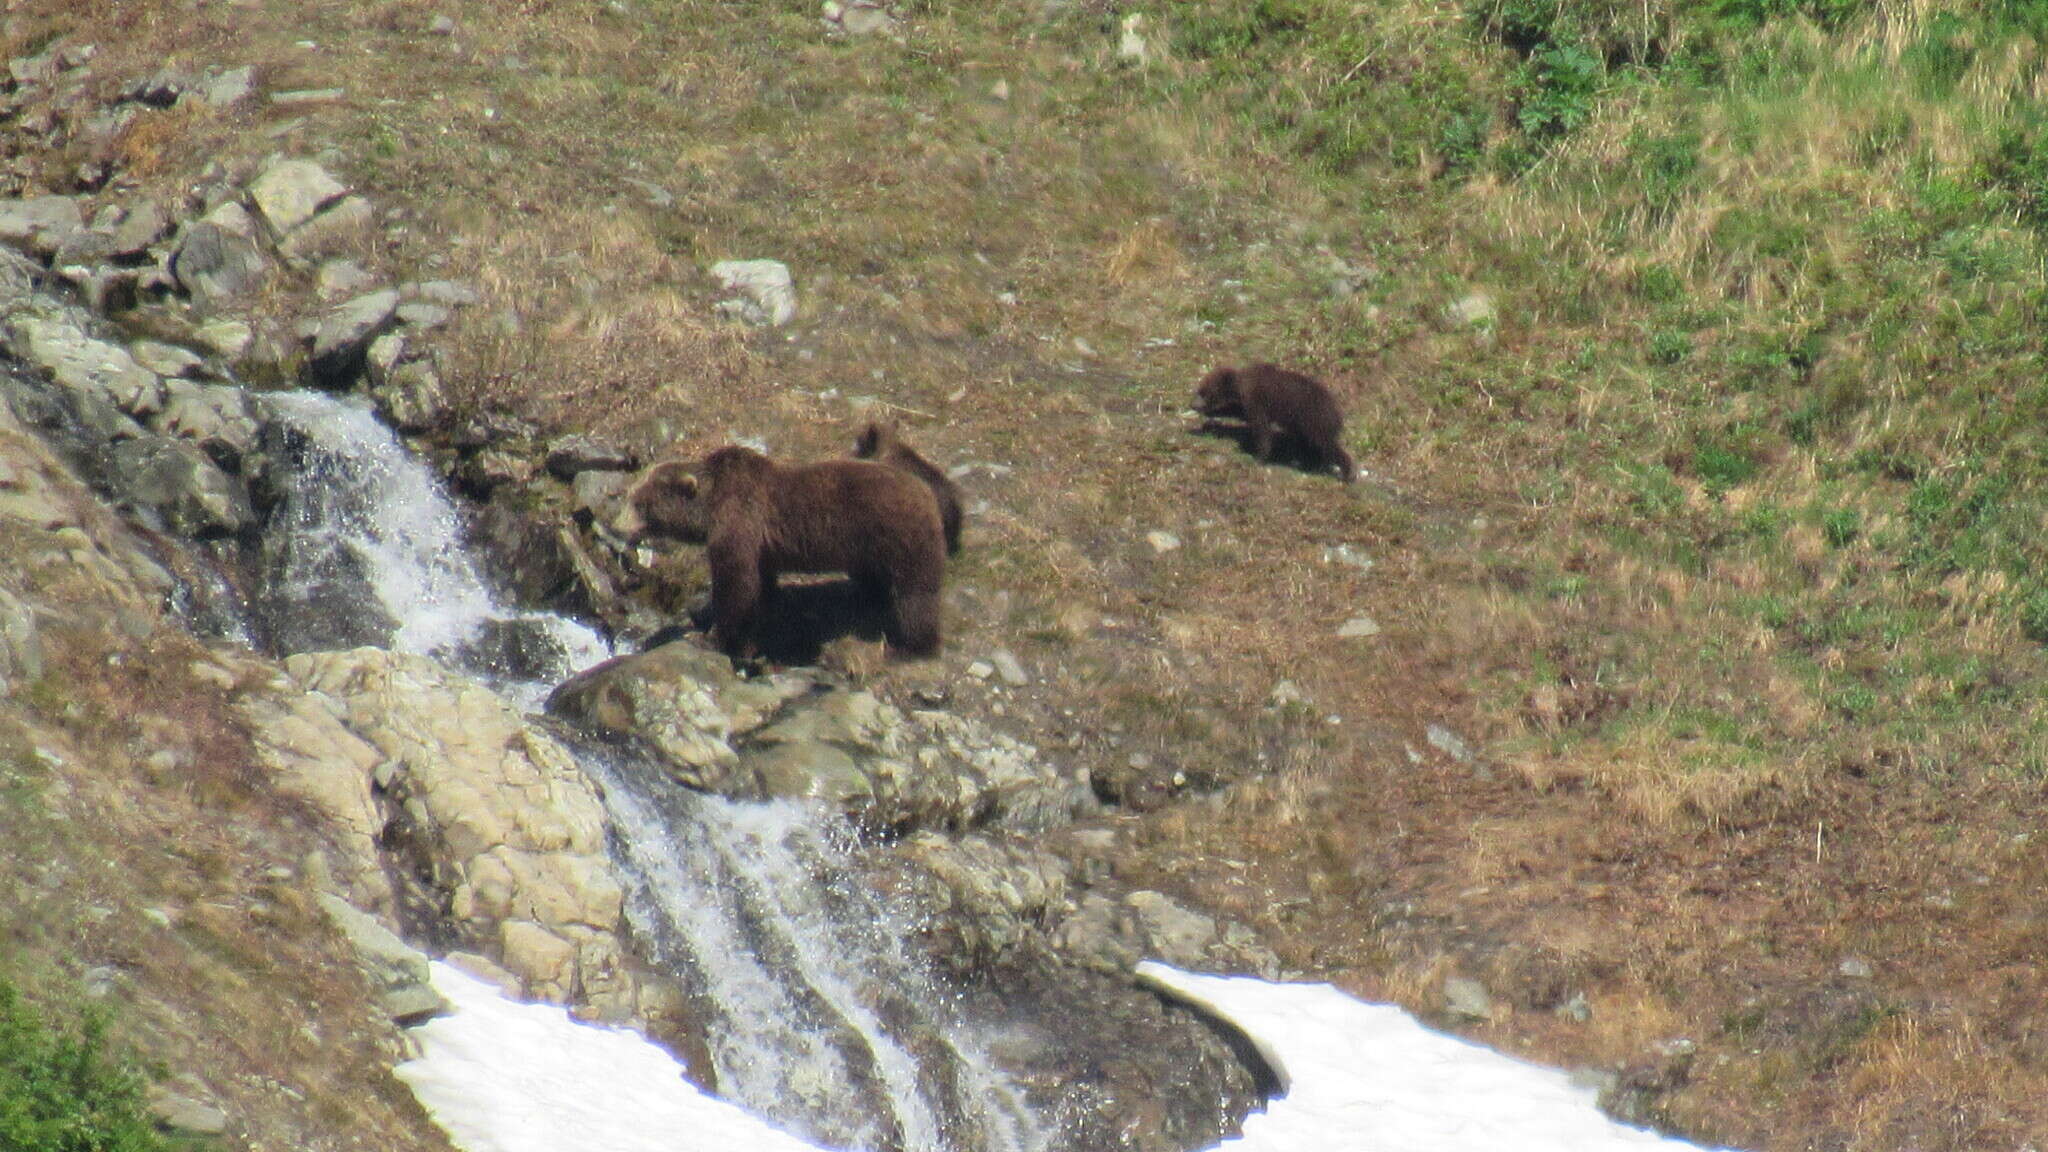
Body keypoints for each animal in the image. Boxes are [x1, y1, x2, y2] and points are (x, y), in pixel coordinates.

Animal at [610, 438, 946, 655]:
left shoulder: (739, 520)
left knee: (917, 595)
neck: (709, 508)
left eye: (641, 504)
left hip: (900, 534)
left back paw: (910, 647)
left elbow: (736, 584)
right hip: (870, 548)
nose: (616, 526)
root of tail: (926, 491)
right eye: (630, 494)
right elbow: (758, 583)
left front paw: (709, 636)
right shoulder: (759, 546)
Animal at [1196, 360, 1351, 481]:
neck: (1240, 386)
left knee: (1325, 444)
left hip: (1314, 420)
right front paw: (1209, 420)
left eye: (1202, 392)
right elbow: (1238, 412)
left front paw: (1258, 457)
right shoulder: (1246, 403)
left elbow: (1262, 430)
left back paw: (1345, 472)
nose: (1193, 404)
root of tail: (1337, 412)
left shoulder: (1257, 401)